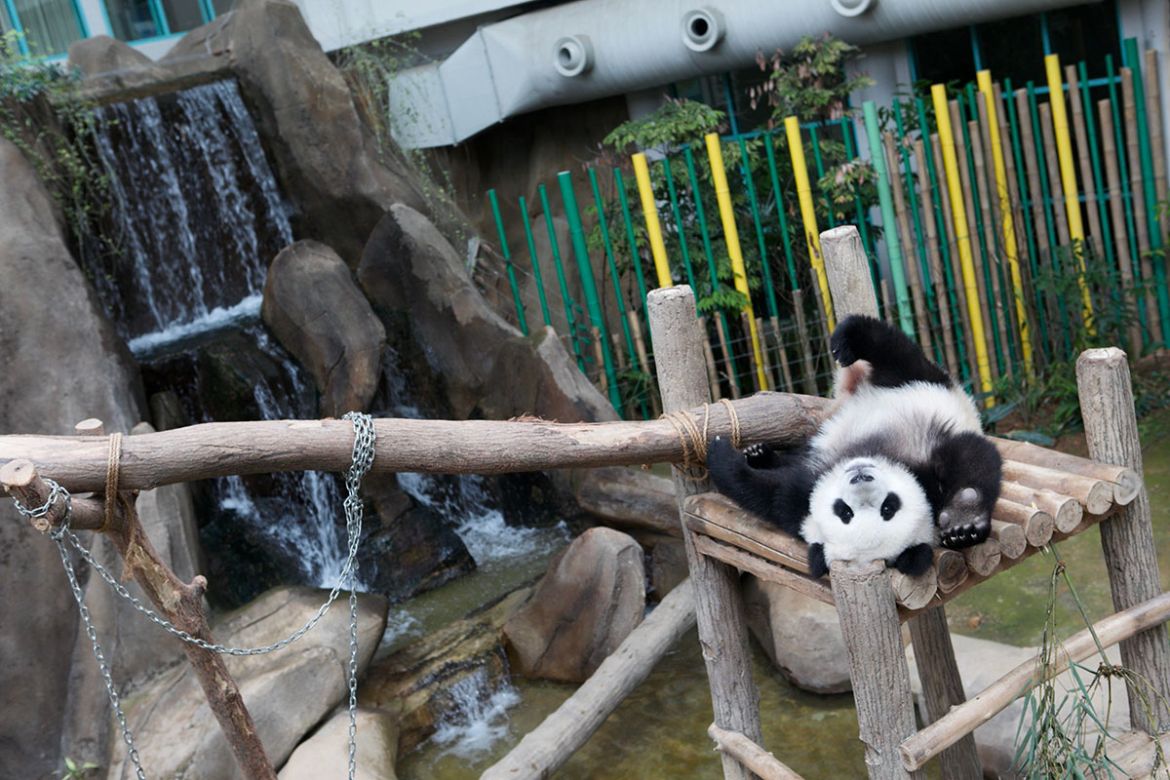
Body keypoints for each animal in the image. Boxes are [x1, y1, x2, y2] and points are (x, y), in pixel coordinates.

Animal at [707, 314, 1002, 579]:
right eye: (844, 512)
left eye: (888, 508)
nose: (860, 475)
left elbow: (763, 492)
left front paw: (965, 520)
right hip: (905, 386)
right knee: (893, 352)